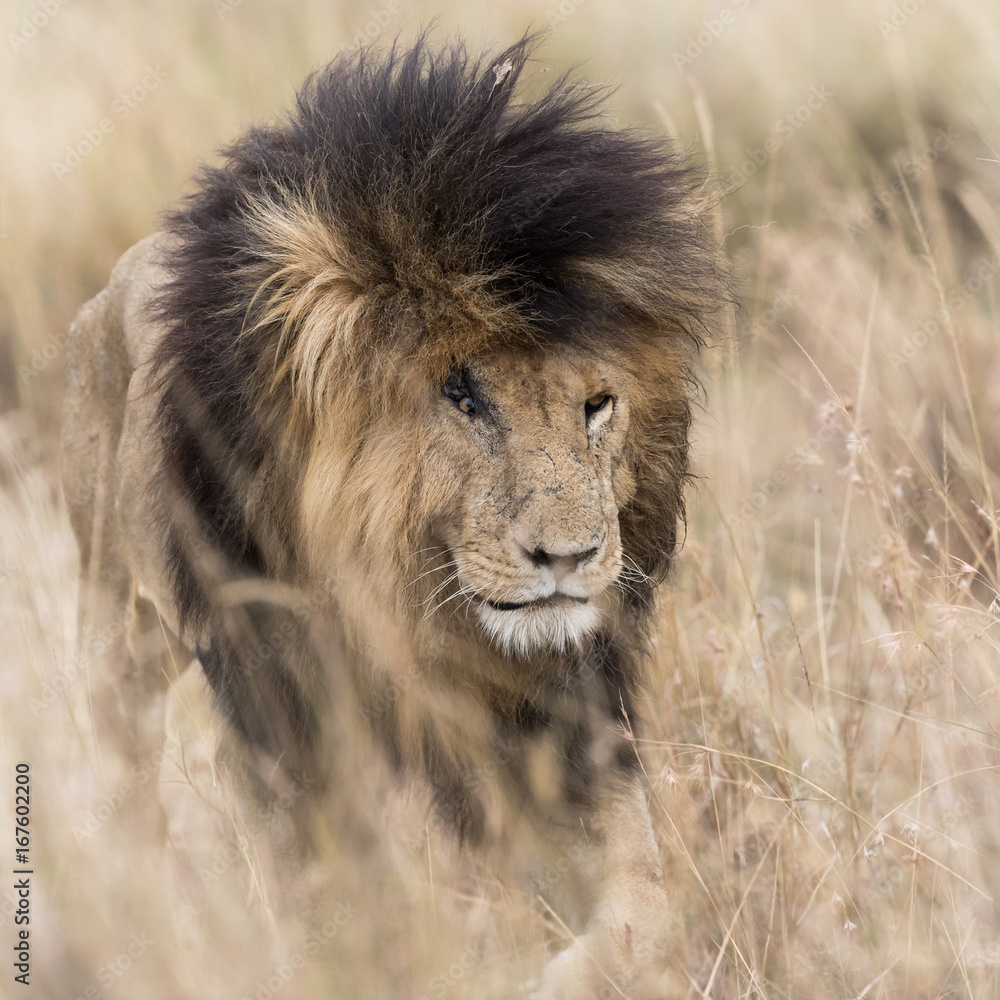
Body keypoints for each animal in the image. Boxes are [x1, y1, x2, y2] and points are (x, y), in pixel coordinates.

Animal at [61, 35, 726, 997]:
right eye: (463, 396)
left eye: (598, 404)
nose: (572, 556)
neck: (411, 608)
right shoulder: (289, 725)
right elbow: (335, 918)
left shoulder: (569, 729)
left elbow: (649, 920)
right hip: (118, 635)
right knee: (124, 771)